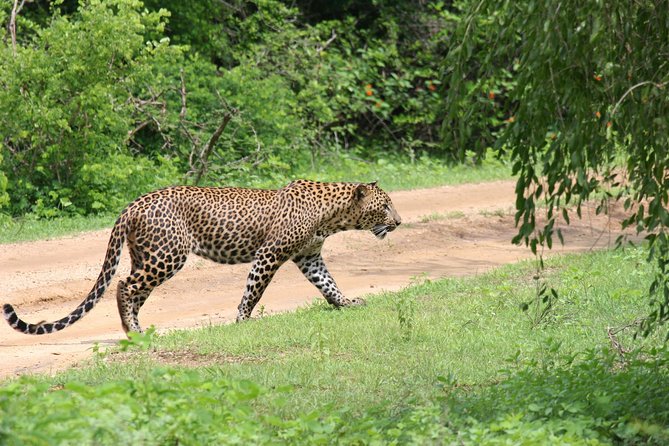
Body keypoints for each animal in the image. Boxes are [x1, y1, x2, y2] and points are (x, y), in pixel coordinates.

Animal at [2, 179, 402, 336]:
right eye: (385, 206)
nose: (399, 222)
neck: (334, 217)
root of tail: (133, 204)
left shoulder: (309, 257)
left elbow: (328, 285)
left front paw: (348, 303)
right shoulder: (270, 253)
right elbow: (254, 289)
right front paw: (242, 320)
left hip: (146, 255)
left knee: (132, 290)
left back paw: (138, 330)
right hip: (167, 255)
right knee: (124, 286)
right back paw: (134, 332)